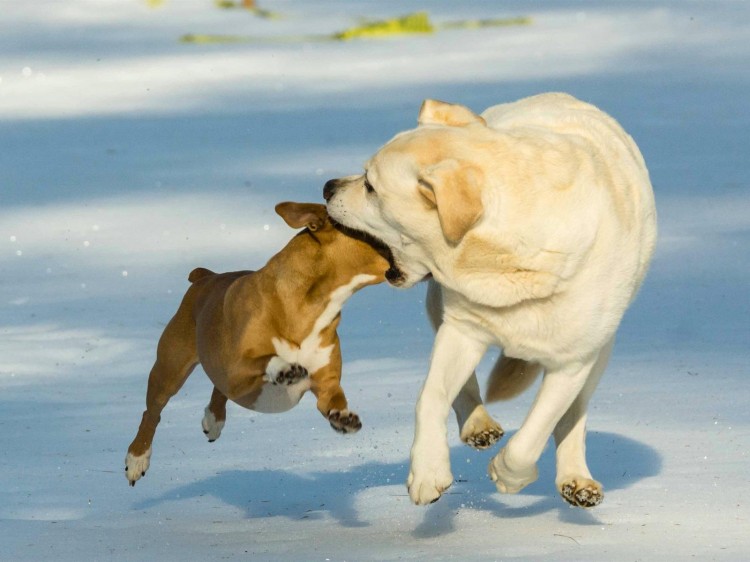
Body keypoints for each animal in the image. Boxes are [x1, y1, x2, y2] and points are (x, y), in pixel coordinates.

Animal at [125, 202, 394, 486]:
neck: (311, 308)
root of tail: (205, 277)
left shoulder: (326, 384)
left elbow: (332, 400)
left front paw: (343, 417)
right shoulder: (234, 370)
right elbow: (263, 359)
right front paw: (285, 368)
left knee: (216, 391)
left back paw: (214, 420)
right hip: (170, 369)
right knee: (152, 412)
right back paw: (137, 458)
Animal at [324, 93, 656, 508]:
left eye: (370, 185)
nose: (327, 187)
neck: (514, 254)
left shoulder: (572, 363)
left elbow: (534, 434)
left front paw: (509, 476)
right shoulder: (462, 328)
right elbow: (430, 396)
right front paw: (428, 474)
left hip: (601, 350)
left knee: (573, 416)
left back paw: (576, 480)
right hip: (442, 308)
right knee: (463, 388)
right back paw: (478, 425)